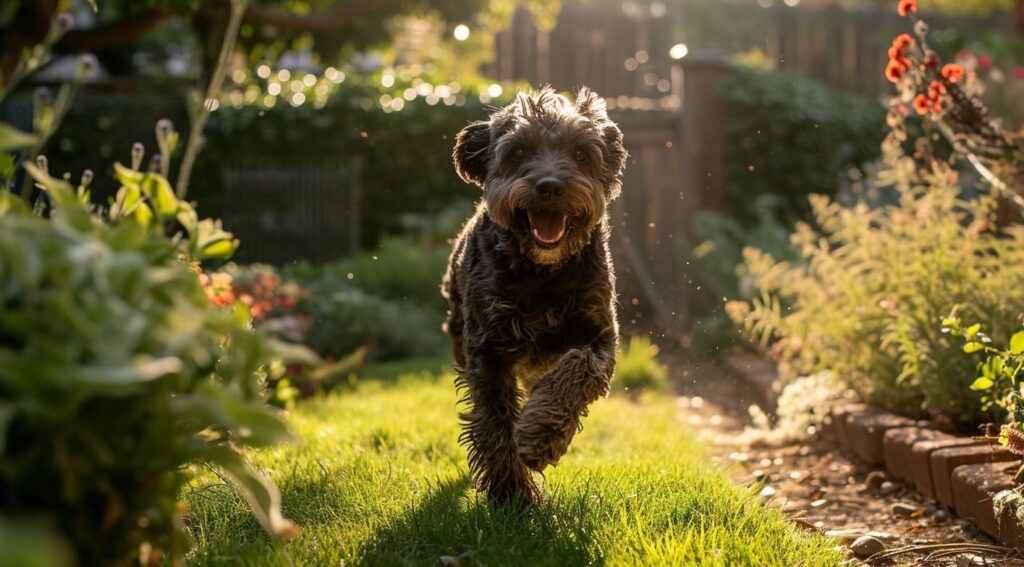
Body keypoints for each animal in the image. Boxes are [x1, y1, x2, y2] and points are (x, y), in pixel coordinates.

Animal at [442, 85, 626, 501]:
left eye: (580, 153)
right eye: (518, 153)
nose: (549, 186)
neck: (542, 276)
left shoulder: (599, 336)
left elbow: (577, 369)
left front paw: (541, 435)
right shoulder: (486, 351)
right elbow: (494, 422)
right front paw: (513, 496)